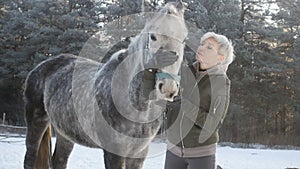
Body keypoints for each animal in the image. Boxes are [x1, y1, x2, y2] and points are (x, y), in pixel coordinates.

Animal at [23, 0, 188, 168]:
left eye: (184, 39)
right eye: (153, 37)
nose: (168, 87)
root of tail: (41, 66)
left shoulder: (139, 154)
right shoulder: (114, 152)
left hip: (65, 133)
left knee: (59, 160)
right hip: (37, 122)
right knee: (30, 158)